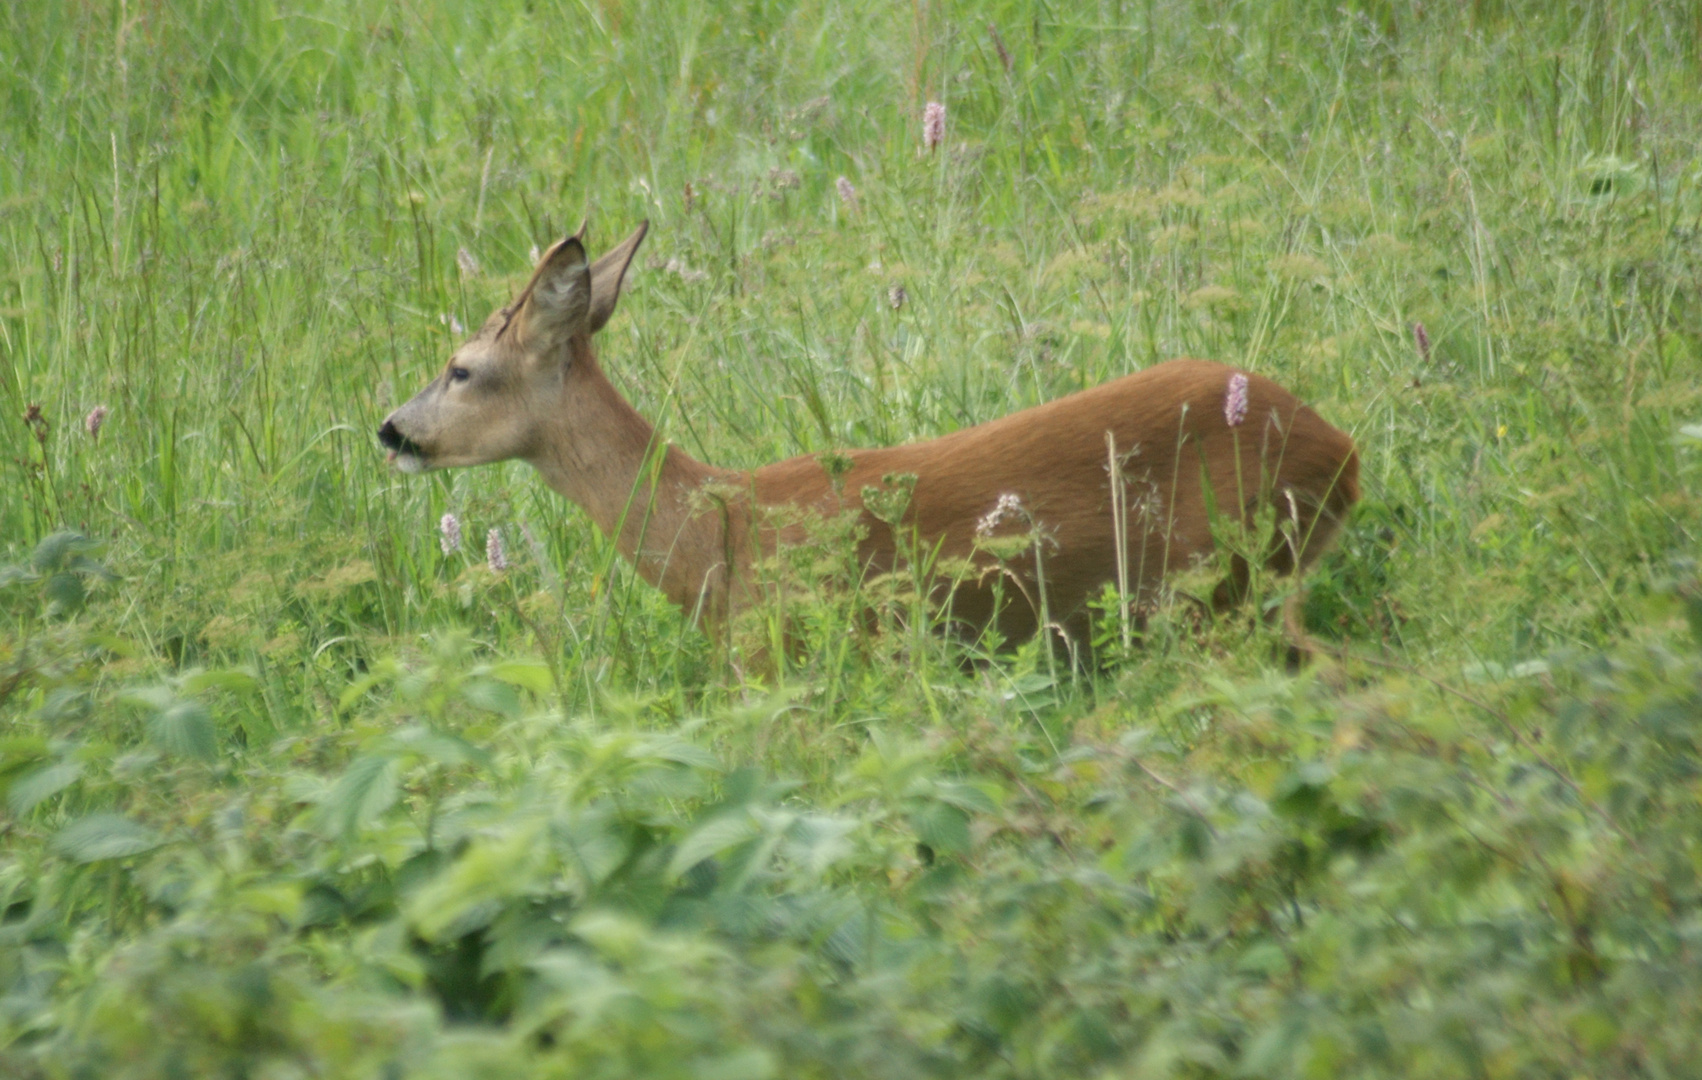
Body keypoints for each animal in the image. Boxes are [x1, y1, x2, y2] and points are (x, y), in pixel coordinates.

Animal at [382, 224, 1354, 656]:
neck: (713, 538)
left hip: (1225, 583)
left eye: (461, 368)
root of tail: (1344, 453)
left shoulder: (781, 653)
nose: (390, 429)